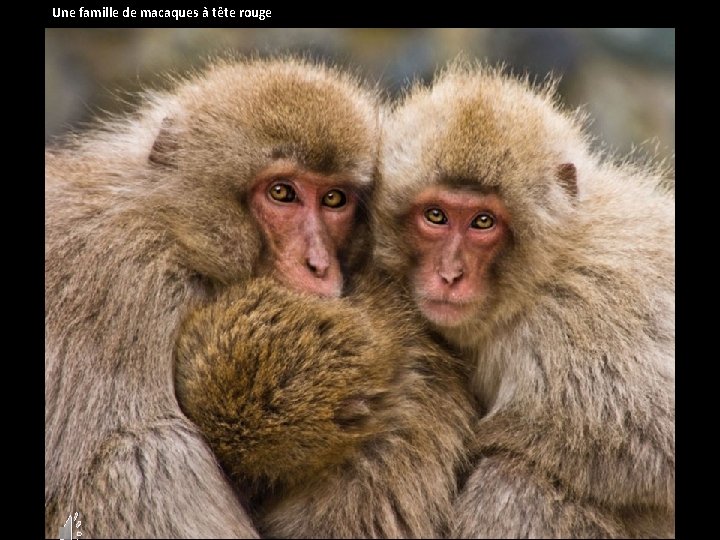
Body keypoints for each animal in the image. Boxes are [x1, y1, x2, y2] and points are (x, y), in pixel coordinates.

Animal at [45, 57, 380, 536]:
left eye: (334, 199)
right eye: (282, 193)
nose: (318, 264)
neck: (174, 229)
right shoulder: (131, 288)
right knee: (147, 449)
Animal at [376, 62, 676, 536]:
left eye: (483, 222)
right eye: (436, 216)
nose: (449, 275)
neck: (541, 275)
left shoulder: (579, 319)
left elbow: (657, 442)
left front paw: (483, 439)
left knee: (514, 478)